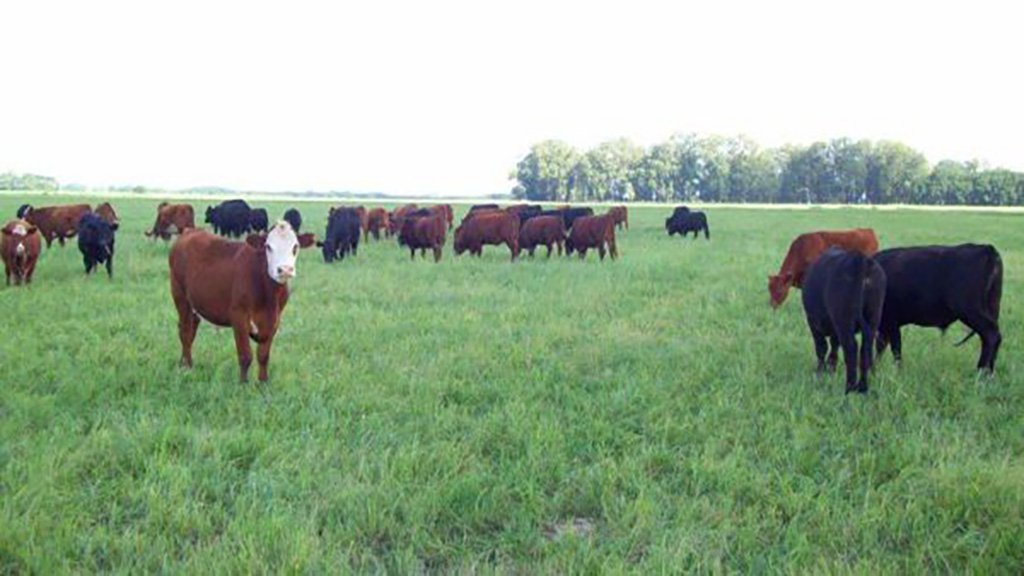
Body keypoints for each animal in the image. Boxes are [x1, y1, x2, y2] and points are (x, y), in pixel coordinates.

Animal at [167, 219, 315, 381]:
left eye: (295, 246)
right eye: (268, 247)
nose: (285, 269)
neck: (268, 296)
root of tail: (190, 231)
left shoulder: (274, 320)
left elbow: (263, 356)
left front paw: (263, 382)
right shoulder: (238, 316)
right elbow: (245, 356)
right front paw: (243, 383)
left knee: (192, 328)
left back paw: (187, 363)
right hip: (180, 296)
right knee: (185, 331)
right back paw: (185, 366)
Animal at [798, 247, 888, 389]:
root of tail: (859, 258)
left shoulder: (813, 322)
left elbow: (821, 347)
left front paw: (820, 372)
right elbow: (834, 346)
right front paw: (831, 368)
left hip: (844, 320)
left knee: (851, 347)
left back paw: (850, 386)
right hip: (874, 316)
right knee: (866, 348)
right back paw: (866, 381)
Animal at [872, 242, 999, 373]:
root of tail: (986, 248)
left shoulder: (892, 322)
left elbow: (895, 349)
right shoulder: (885, 324)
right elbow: (881, 347)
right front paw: (874, 370)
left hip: (971, 312)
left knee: (991, 335)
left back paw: (981, 372)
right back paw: (989, 372)